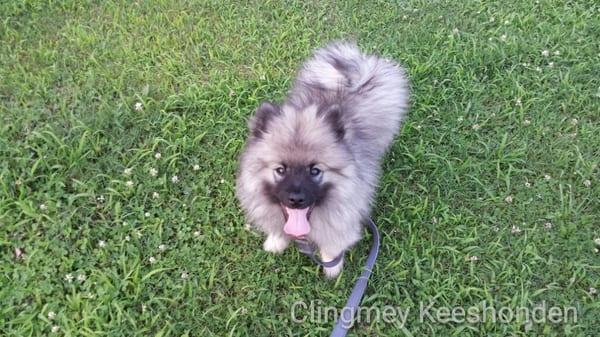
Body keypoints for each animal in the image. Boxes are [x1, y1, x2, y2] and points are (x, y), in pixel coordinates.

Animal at [237, 40, 410, 276]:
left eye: (315, 170)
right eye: (280, 170)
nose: (296, 199)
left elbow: (332, 245)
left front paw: (332, 268)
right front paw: (276, 242)